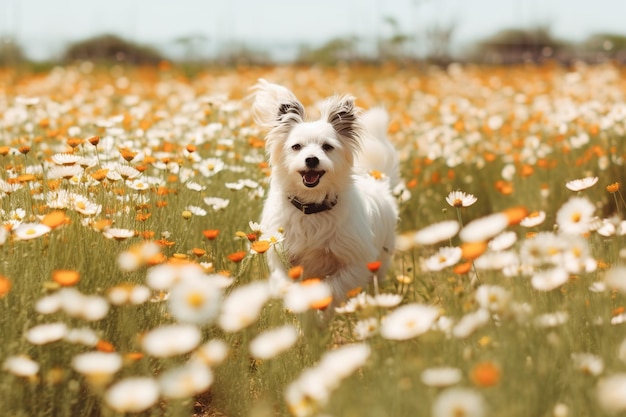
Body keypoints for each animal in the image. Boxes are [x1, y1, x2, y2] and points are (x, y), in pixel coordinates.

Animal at [251, 79, 398, 306]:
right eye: (296, 147)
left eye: (327, 147)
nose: (311, 159)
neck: (312, 206)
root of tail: (378, 181)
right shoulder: (282, 258)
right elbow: (286, 284)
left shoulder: (356, 262)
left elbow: (332, 288)